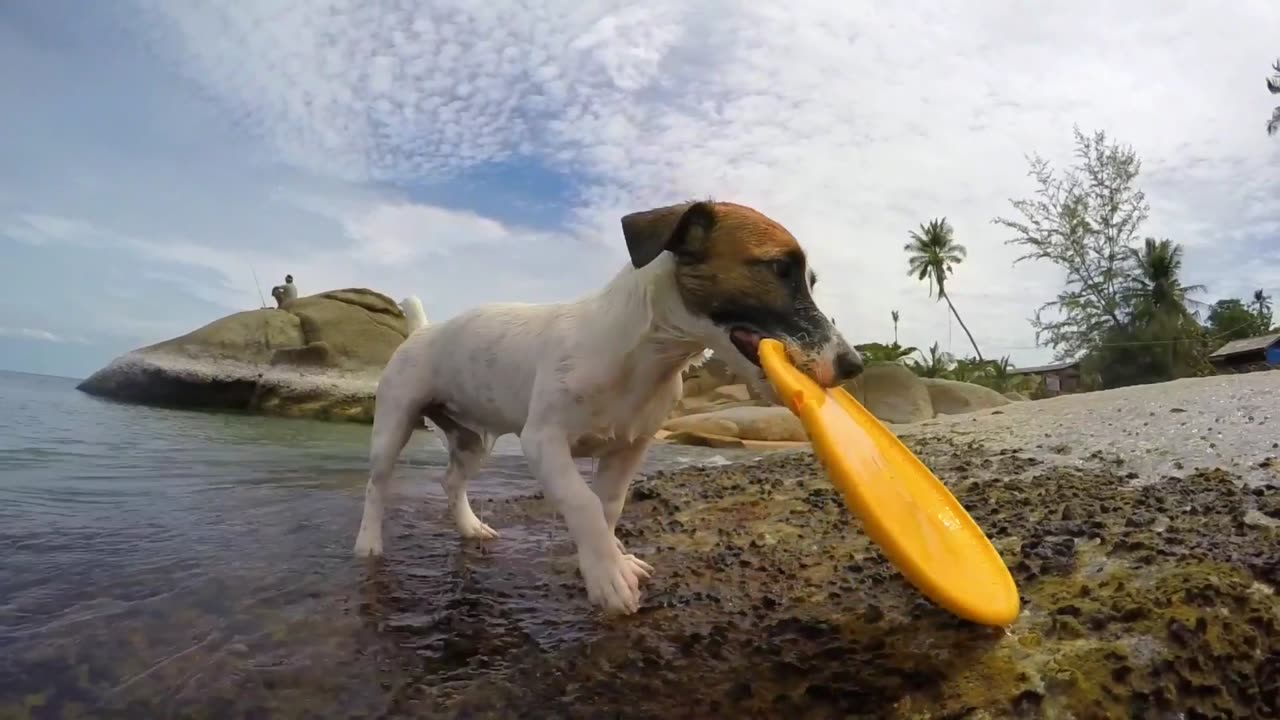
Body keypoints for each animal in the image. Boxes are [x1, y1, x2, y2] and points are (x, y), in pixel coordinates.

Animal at [355, 199, 865, 609]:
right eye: (778, 269)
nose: (854, 365)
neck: (646, 355)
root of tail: (423, 330)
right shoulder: (543, 441)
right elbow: (581, 502)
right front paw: (607, 577)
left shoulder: (629, 448)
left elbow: (608, 507)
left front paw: (608, 558)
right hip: (393, 424)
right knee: (377, 486)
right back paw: (368, 542)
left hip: (473, 440)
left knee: (450, 481)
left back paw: (469, 526)